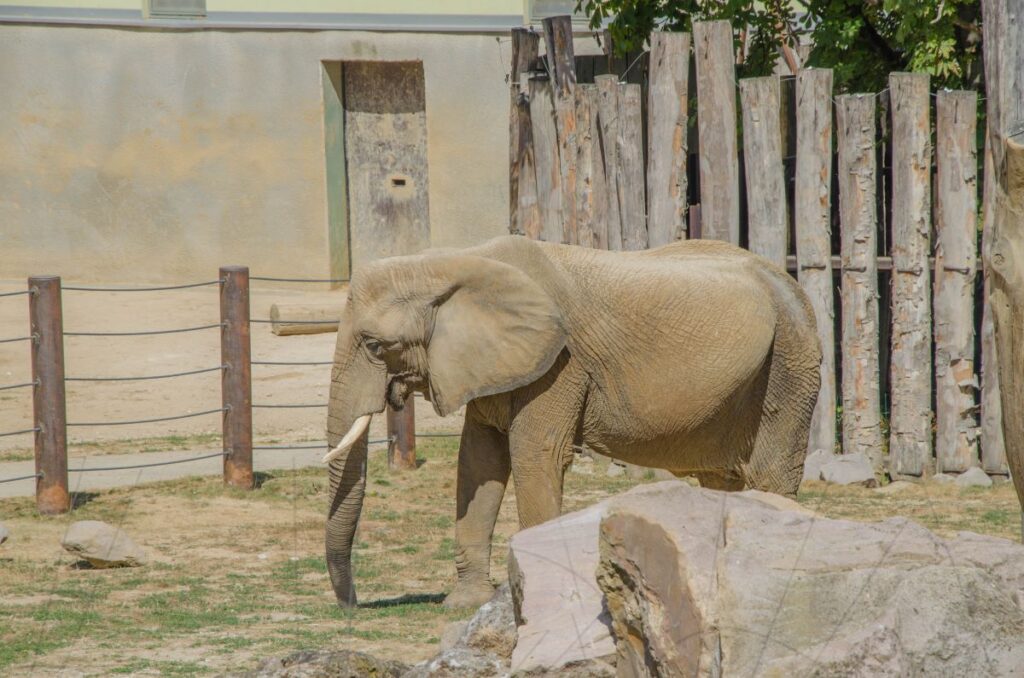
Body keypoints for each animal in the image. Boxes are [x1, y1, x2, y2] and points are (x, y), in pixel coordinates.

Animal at [323, 235, 819, 610]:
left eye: (374, 345)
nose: (352, 607)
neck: (454, 262)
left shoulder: (561, 363)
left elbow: (534, 454)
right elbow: (480, 461)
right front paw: (465, 604)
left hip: (790, 363)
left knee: (770, 475)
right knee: (721, 481)